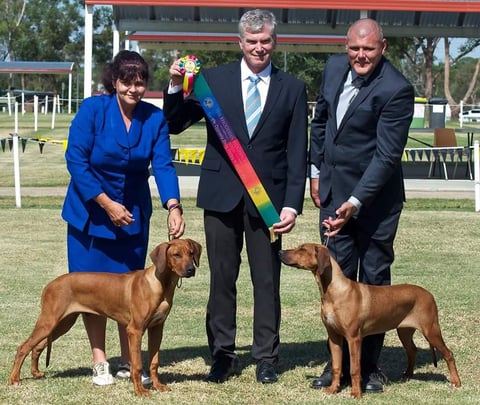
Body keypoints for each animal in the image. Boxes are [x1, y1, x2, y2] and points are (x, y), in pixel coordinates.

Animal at [7, 237, 202, 394]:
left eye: (191, 253)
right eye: (176, 255)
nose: (191, 270)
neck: (161, 284)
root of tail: (50, 284)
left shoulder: (157, 328)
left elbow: (154, 362)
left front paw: (158, 386)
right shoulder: (135, 330)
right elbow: (137, 365)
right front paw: (140, 391)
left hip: (62, 323)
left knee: (37, 346)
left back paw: (35, 373)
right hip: (49, 321)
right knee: (23, 347)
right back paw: (14, 379)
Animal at [280, 243, 460, 398]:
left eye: (302, 249)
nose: (280, 252)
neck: (333, 291)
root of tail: (429, 294)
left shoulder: (353, 338)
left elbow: (355, 368)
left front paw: (355, 393)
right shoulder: (334, 337)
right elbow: (337, 366)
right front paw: (332, 389)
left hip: (431, 330)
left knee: (448, 354)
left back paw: (456, 382)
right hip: (404, 331)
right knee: (412, 350)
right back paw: (408, 375)